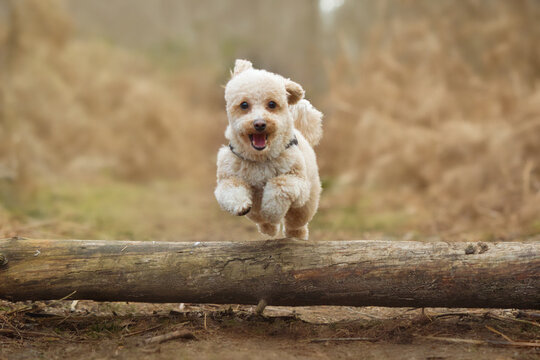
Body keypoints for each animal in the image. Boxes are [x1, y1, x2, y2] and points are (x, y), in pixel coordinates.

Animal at [214, 58, 324, 239]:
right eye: (244, 105)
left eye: (272, 104)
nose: (259, 123)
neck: (260, 158)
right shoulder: (229, 176)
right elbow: (231, 188)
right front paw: (240, 204)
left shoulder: (296, 180)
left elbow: (279, 185)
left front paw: (271, 210)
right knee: (260, 219)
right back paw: (268, 228)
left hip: (306, 204)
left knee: (296, 221)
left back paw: (296, 234)